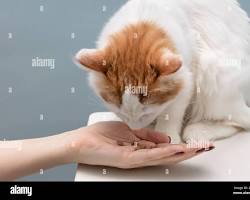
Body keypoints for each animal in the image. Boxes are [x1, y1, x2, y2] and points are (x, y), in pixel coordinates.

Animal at [75, 0, 250, 144]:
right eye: (121, 113)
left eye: (145, 114)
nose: (135, 128)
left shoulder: (187, 80)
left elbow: (171, 114)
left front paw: (167, 136)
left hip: (215, 75)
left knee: (239, 120)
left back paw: (197, 131)